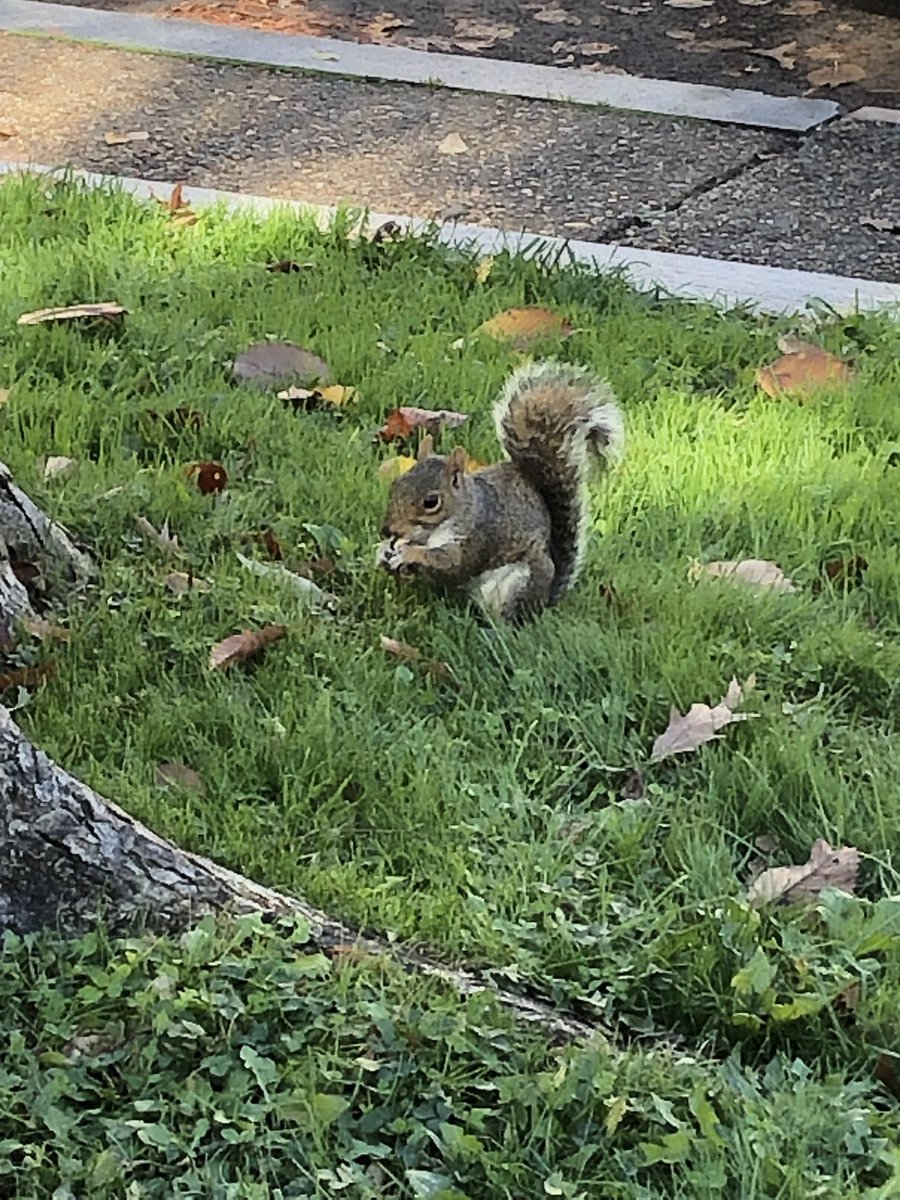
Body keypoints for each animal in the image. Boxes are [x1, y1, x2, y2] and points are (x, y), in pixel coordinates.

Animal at [376, 357, 624, 624]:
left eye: (431, 502)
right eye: (396, 484)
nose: (387, 529)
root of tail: (545, 601)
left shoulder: (478, 537)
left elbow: (451, 562)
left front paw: (410, 552)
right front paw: (383, 550)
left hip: (518, 584)